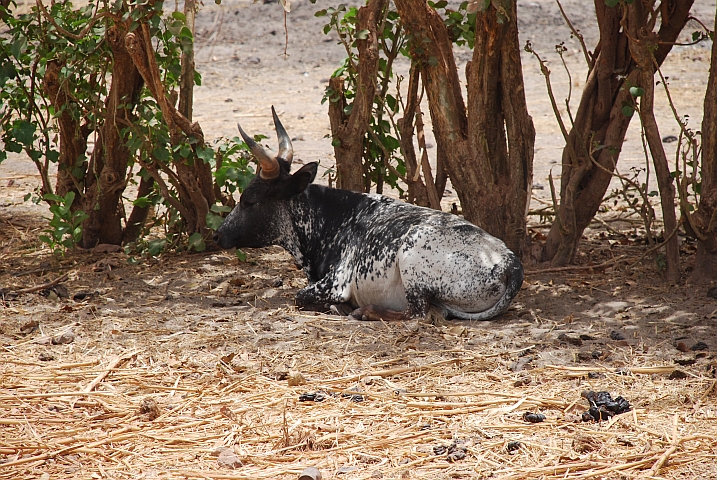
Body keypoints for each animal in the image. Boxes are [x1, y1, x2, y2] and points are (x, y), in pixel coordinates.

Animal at [210, 107, 524, 320]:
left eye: (248, 201)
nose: (218, 235)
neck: (330, 220)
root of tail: (510, 262)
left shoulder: (334, 284)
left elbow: (301, 297)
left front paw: (339, 307)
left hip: (412, 259)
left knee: (419, 314)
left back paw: (365, 312)